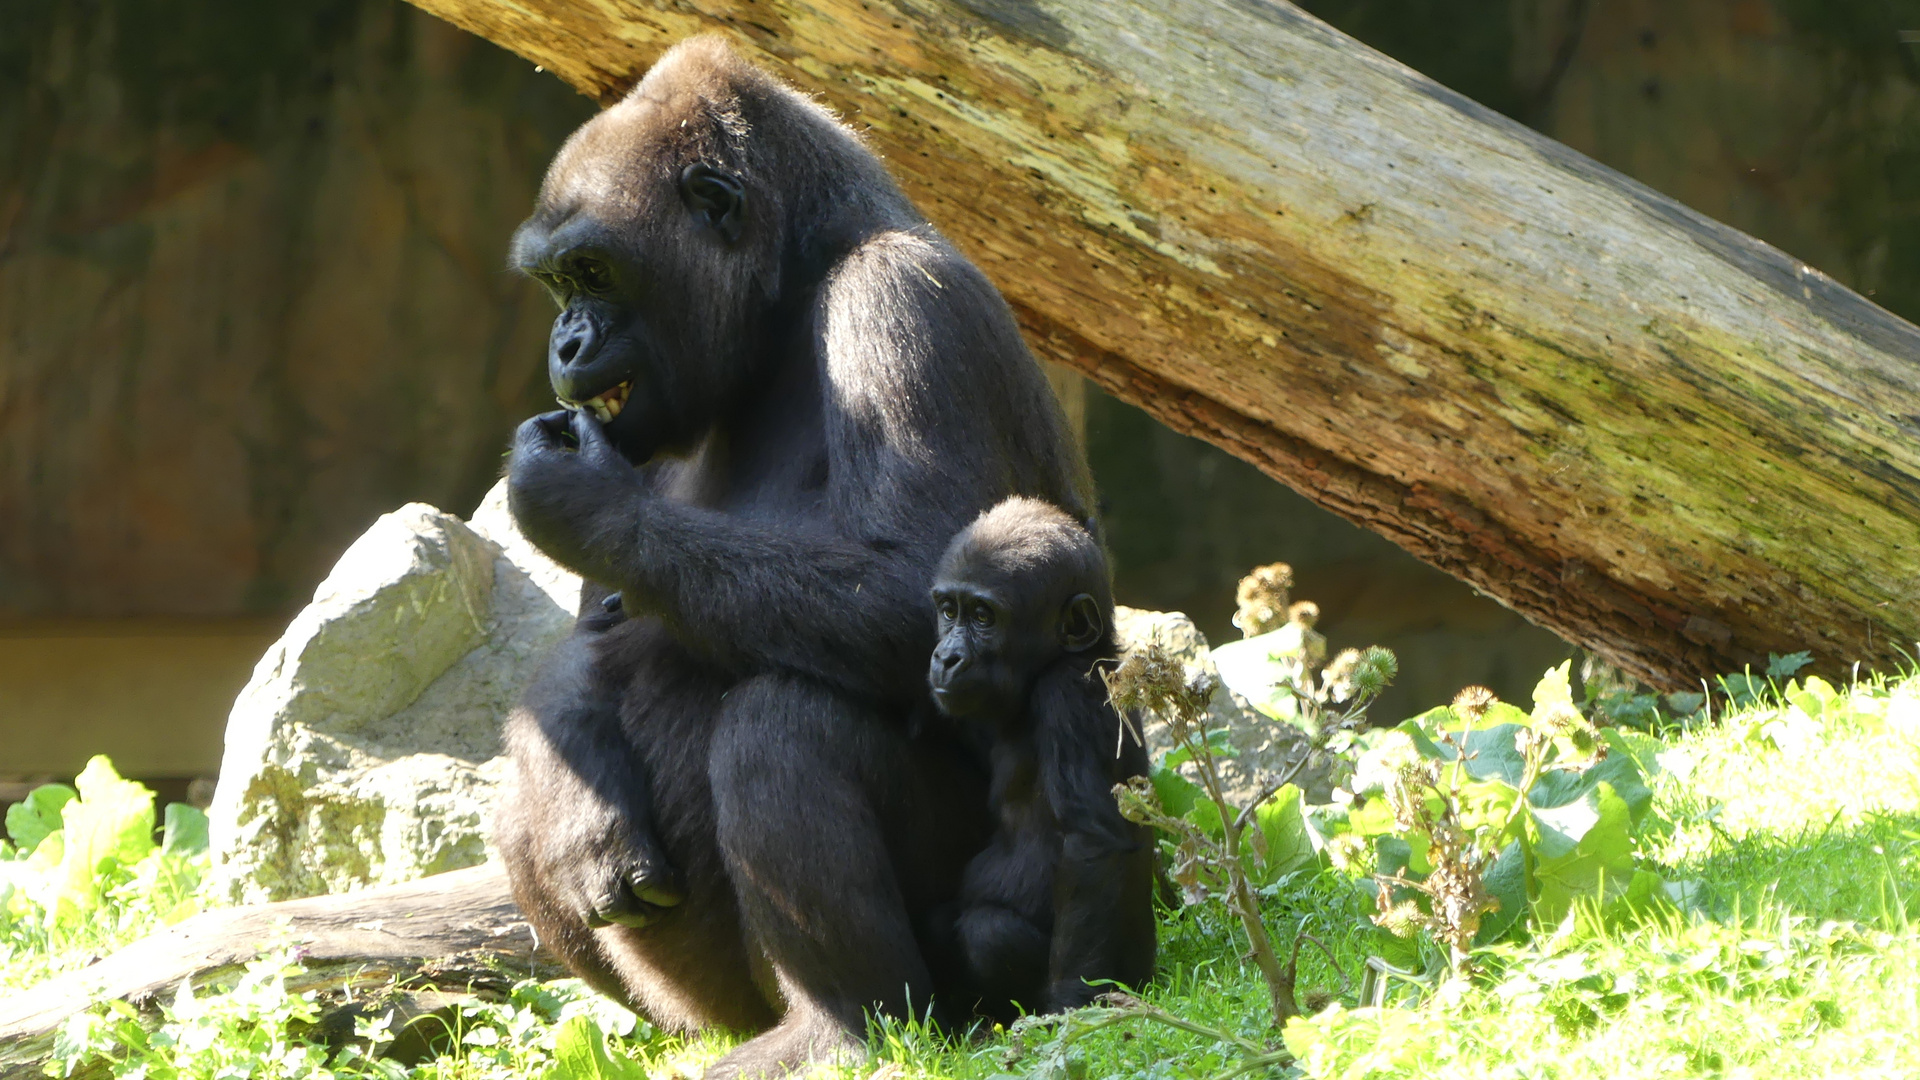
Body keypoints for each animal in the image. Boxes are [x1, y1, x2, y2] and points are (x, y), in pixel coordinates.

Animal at [495, 35, 1098, 1076]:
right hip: (714, 1002)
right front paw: (568, 771)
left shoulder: (902, 302)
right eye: (560, 283)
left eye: (595, 272)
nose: (566, 344)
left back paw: (841, 1023)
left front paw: (585, 504)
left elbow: (912, 590)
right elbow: (582, 657)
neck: (791, 286)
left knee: (786, 722)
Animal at [925, 495, 1152, 1014]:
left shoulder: (1066, 698)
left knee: (988, 934)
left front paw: (1072, 1002)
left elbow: (1092, 844)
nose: (946, 657)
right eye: (948, 610)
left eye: (983, 617)